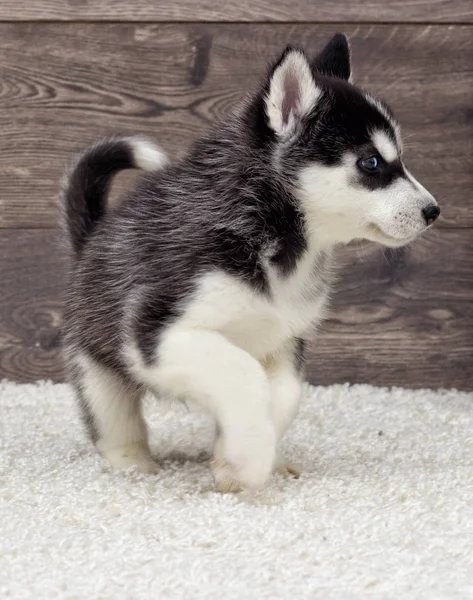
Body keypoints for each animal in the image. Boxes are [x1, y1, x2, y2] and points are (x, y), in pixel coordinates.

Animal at [61, 34, 438, 492]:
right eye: (371, 162)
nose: (433, 211)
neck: (270, 232)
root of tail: (90, 238)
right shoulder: (160, 333)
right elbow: (243, 374)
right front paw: (247, 461)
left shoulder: (284, 339)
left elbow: (285, 395)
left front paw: (236, 459)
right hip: (97, 369)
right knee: (116, 422)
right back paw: (133, 464)